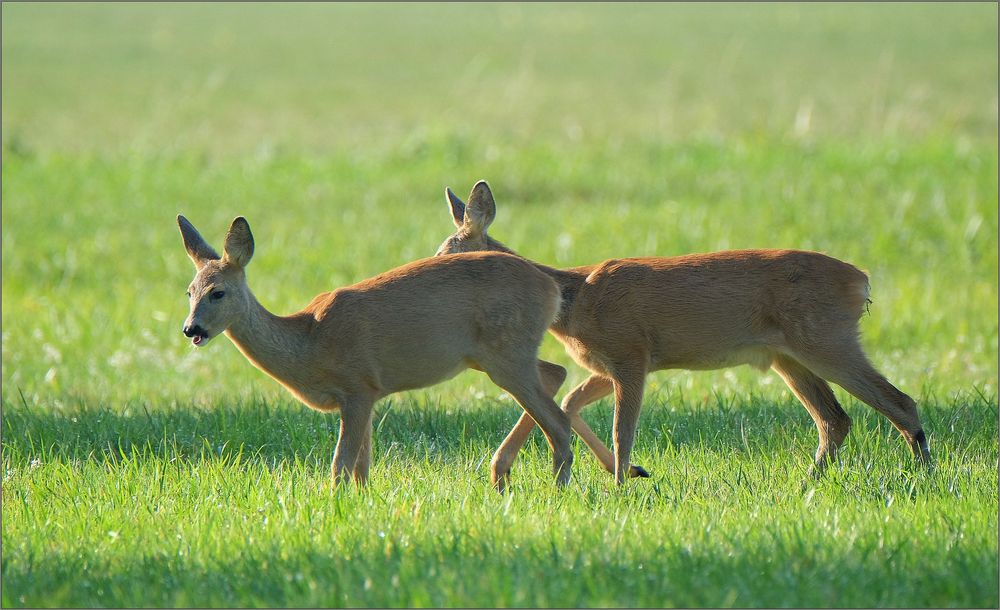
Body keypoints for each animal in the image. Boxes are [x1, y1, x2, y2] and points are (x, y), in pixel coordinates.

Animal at [176, 214, 576, 484]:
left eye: (218, 292)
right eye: (189, 291)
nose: (191, 329)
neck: (309, 343)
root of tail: (552, 290)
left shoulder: (357, 386)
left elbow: (341, 464)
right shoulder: (368, 395)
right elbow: (361, 468)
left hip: (508, 353)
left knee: (558, 421)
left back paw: (555, 490)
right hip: (493, 355)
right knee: (555, 376)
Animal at [434, 180, 932, 484]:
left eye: (446, 252)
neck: (573, 300)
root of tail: (861, 281)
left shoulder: (631, 352)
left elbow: (622, 429)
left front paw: (620, 485)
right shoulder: (614, 363)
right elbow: (573, 402)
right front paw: (631, 473)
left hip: (827, 338)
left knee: (899, 402)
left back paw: (926, 476)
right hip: (788, 357)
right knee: (835, 419)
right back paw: (810, 481)